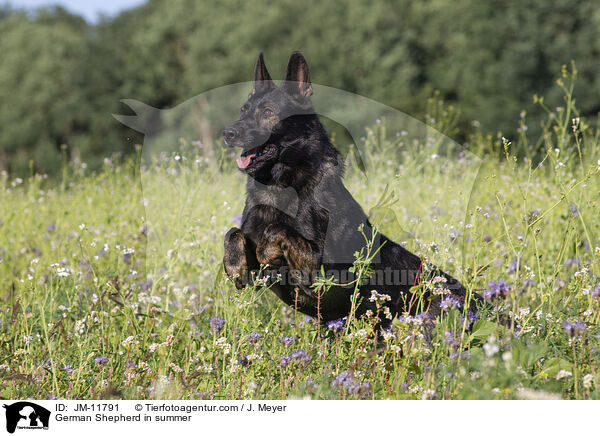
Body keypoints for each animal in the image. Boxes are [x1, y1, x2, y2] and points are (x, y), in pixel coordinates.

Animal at [221, 51, 478, 326]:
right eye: (243, 110)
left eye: (268, 111)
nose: (228, 133)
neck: (280, 186)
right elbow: (232, 233)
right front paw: (234, 264)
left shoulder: (318, 270)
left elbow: (277, 229)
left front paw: (266, 249)